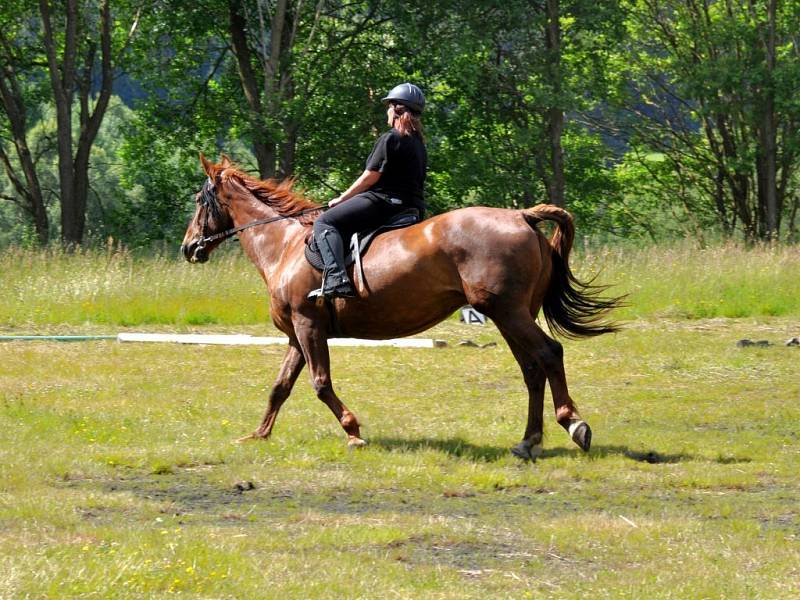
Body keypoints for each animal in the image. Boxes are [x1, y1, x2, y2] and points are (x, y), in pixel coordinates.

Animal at [180, 155, 620, 460]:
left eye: (200, 200)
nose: (189, 248)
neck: (284, 245)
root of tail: (522, 216)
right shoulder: (297, 335)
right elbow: (280, 387)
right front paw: (258, 434)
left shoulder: (308, 327)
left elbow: (320, 384)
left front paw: (353, 432)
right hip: (509, 314)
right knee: (531, 368)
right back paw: (528, 441)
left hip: (507, 312)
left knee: (549, 354)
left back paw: (574, 425)